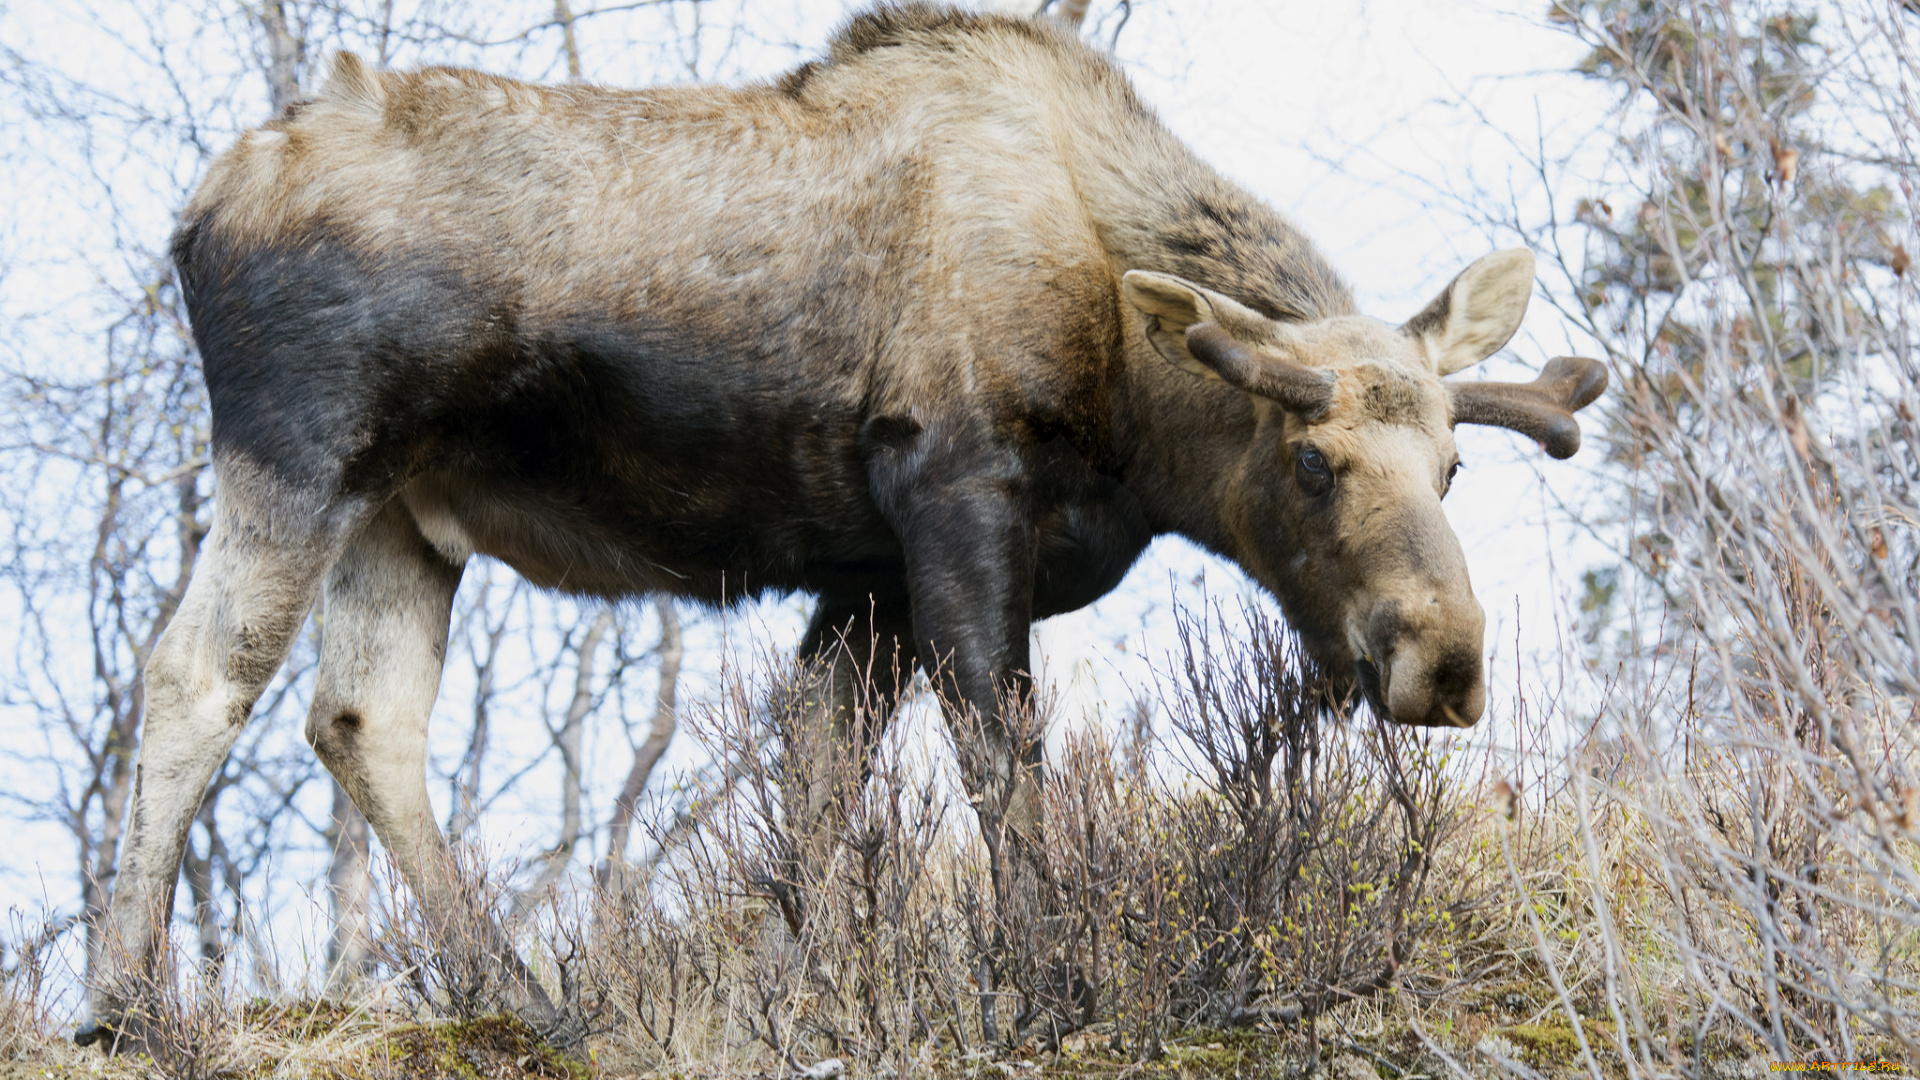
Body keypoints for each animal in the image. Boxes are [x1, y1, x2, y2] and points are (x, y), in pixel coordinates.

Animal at [78, 0, 1605, 1045]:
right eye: (1311, 459)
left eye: (1452, 468)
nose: (1446, 656)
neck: (1133, 404)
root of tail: (190, 217)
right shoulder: (955, 493)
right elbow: (998, 753)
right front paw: (1047, 973)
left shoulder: (865, 578)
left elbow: (816, 775)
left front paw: (810, 981)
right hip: (304, 448)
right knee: (193, 674)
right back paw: (122, 1003)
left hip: (404, 514)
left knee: (360, 718)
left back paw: (516, 993)